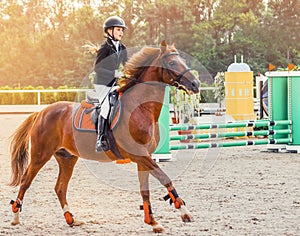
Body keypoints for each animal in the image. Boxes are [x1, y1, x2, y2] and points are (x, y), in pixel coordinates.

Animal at [9, 41, 199, 232]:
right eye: (172, 63)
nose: (195, 84)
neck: (140, 108)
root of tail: (41, 112)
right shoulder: (139, 155)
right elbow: (165, 178)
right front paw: (184, 212)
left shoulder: (144, 157)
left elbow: (145, 189)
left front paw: (152, 221)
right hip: (40, 156)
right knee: (25, 182)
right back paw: (16, 218)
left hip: (67, 157)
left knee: (60, 188)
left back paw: (71, 219)